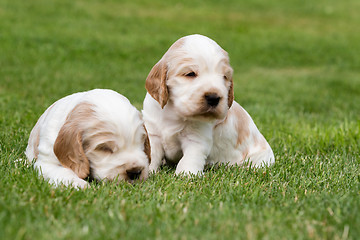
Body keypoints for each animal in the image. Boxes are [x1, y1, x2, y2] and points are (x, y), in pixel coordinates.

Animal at [142, 34, 274, 174]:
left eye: (224, 77)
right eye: (190, 74)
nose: (213, 98)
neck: (174, 113)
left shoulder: (196, 140)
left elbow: (188, 160)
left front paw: (186, 175)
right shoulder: (153, 134)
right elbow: (152, 155)